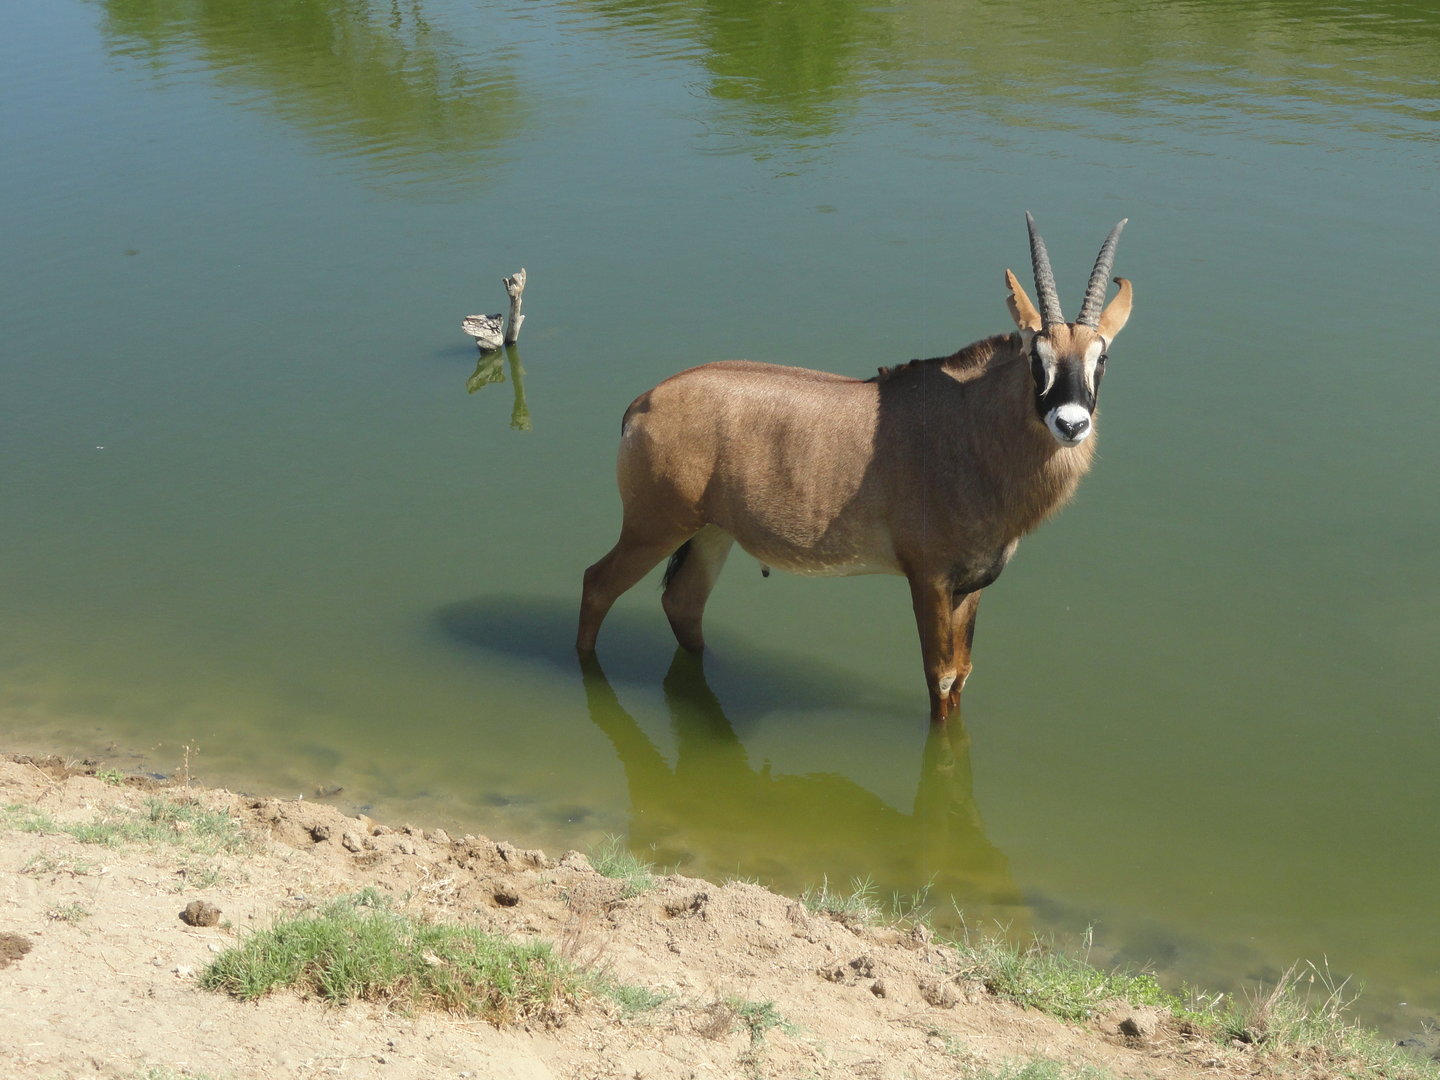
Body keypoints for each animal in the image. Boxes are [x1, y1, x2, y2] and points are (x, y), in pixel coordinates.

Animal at [576, 214, 1132, 722]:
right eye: (1037, 357)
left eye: (1101, 357)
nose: (1071, 423)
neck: (968, 423)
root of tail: (642, 405)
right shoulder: (929, 579)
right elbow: (940, 677)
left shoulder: (971, 585)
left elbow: (962, 676)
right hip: (654, 527)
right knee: (597, 584)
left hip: (710, 534)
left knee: (683, 604)